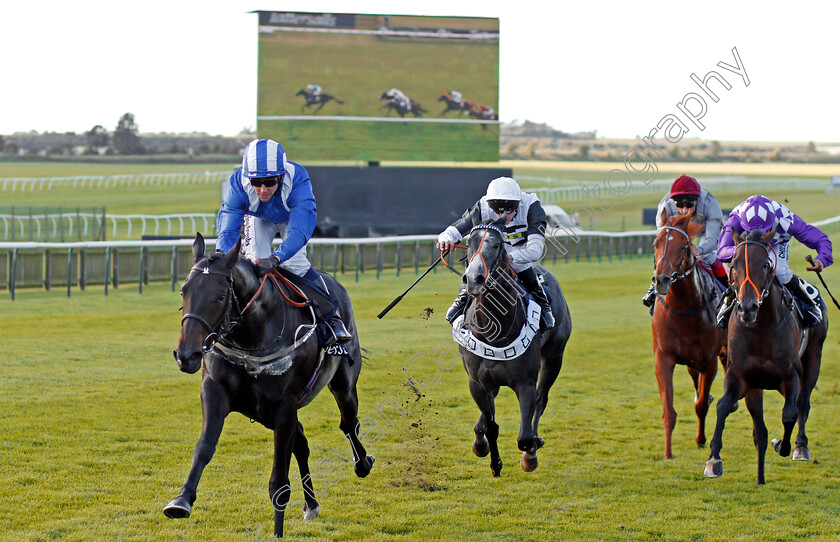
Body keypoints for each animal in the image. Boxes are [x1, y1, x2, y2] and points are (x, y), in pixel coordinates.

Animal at [164, 234, 374, 540]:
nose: (186, 355)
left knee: (348, 423)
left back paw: (363, 464)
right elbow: (204, 446)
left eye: (220, 296)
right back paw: (311, 504)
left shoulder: (284, 405)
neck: (253, 335)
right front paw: (181, 500)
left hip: (343, 383)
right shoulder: (216, 391)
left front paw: (277, 531)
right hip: (266, 413)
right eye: (183, 291)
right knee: (302, 443)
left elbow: (279, 478)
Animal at [460, 222, 572, 476]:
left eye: (497, 245)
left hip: (554, 357)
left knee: (542, 398)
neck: (495, 332)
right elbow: (490, 426)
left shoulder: (525, 383)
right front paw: (491, 458)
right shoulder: (477, 382)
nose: (473, 278)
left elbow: (524, 437)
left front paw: (531, 453)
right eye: (469, 241)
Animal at [648, 215, 728, 462]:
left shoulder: (709, 361)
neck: (684, 309)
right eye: (655, 243)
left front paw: (701, 439)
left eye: (683, 247)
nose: (661, 279)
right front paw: (667, 454)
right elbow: (669, 411)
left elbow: (701, 406)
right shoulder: (663, 359)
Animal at [704, 228, 828, 484]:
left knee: (803, 404)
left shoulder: (791, 377)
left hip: (814, 357)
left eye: (765, 265)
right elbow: (722, 406)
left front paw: (782, 444)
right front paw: (714, 460)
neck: (761, 328)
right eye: (734, 264)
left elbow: (790, 414)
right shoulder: (740, 376)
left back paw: (800, 447)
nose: (747, 308)